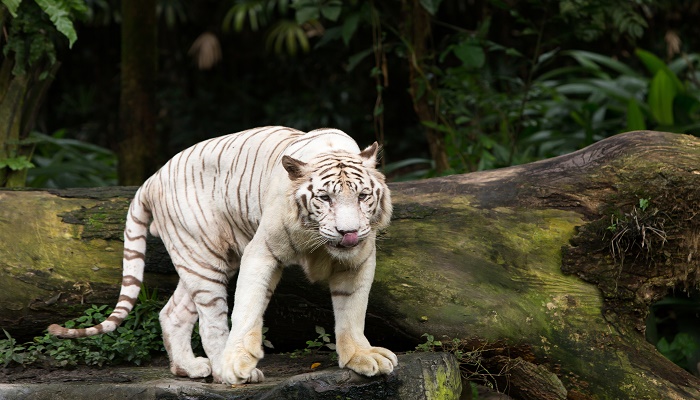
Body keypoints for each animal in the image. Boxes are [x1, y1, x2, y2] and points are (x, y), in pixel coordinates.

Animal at [48, 126, 397, 384]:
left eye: (363, 196)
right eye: (324, 198)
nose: (348, 232)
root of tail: (152, 178)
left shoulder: (359, 259)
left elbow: (352, 311)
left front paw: (361, 357)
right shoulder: (261, 251)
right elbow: (247, 308)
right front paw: (239, 361)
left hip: (204, 259)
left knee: (172, 312)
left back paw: (188, 368)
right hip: (204, 258)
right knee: (211, 323)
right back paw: (223, 370)